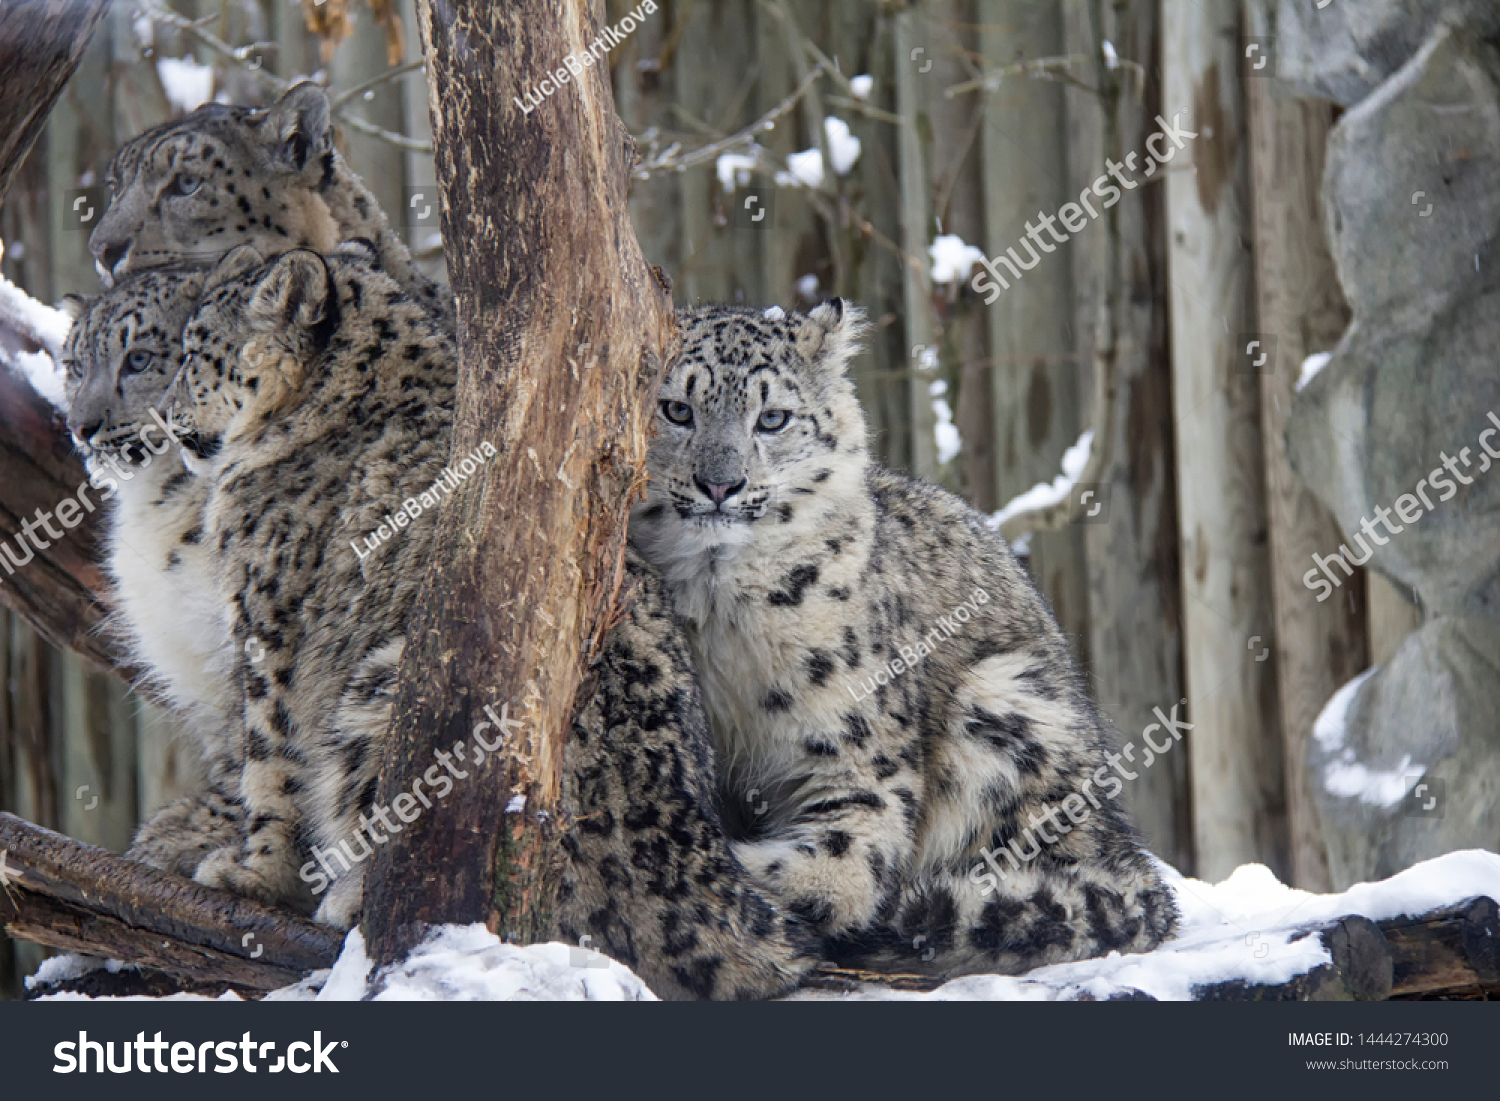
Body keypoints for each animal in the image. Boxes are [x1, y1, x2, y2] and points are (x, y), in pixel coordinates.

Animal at [627, 300, 1176, 972]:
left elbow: (842, 866)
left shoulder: (857, 754)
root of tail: (1113, 827)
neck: (717, 608)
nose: (719, 484)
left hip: (1004, 704)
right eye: (677, 409)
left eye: (773, 418)